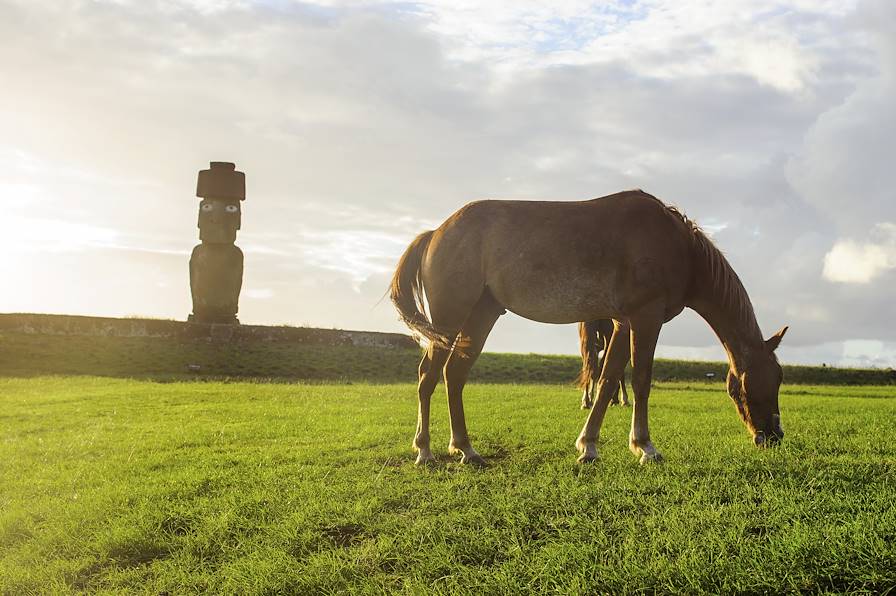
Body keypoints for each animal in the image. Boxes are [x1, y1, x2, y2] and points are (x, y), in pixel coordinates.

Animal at [388, 190, 788, 466]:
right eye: (769, 380)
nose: (774, 435)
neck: (679, 247)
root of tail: (435, 232)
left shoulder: (623, 324)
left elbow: (609, 380)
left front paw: (589, 445)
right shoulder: (646, 318)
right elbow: (640, 379)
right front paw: (645, 446)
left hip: (481, 317)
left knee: (454, 375)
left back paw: (466, 449)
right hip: (450, 318)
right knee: (428, 376)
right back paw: (424, 450)